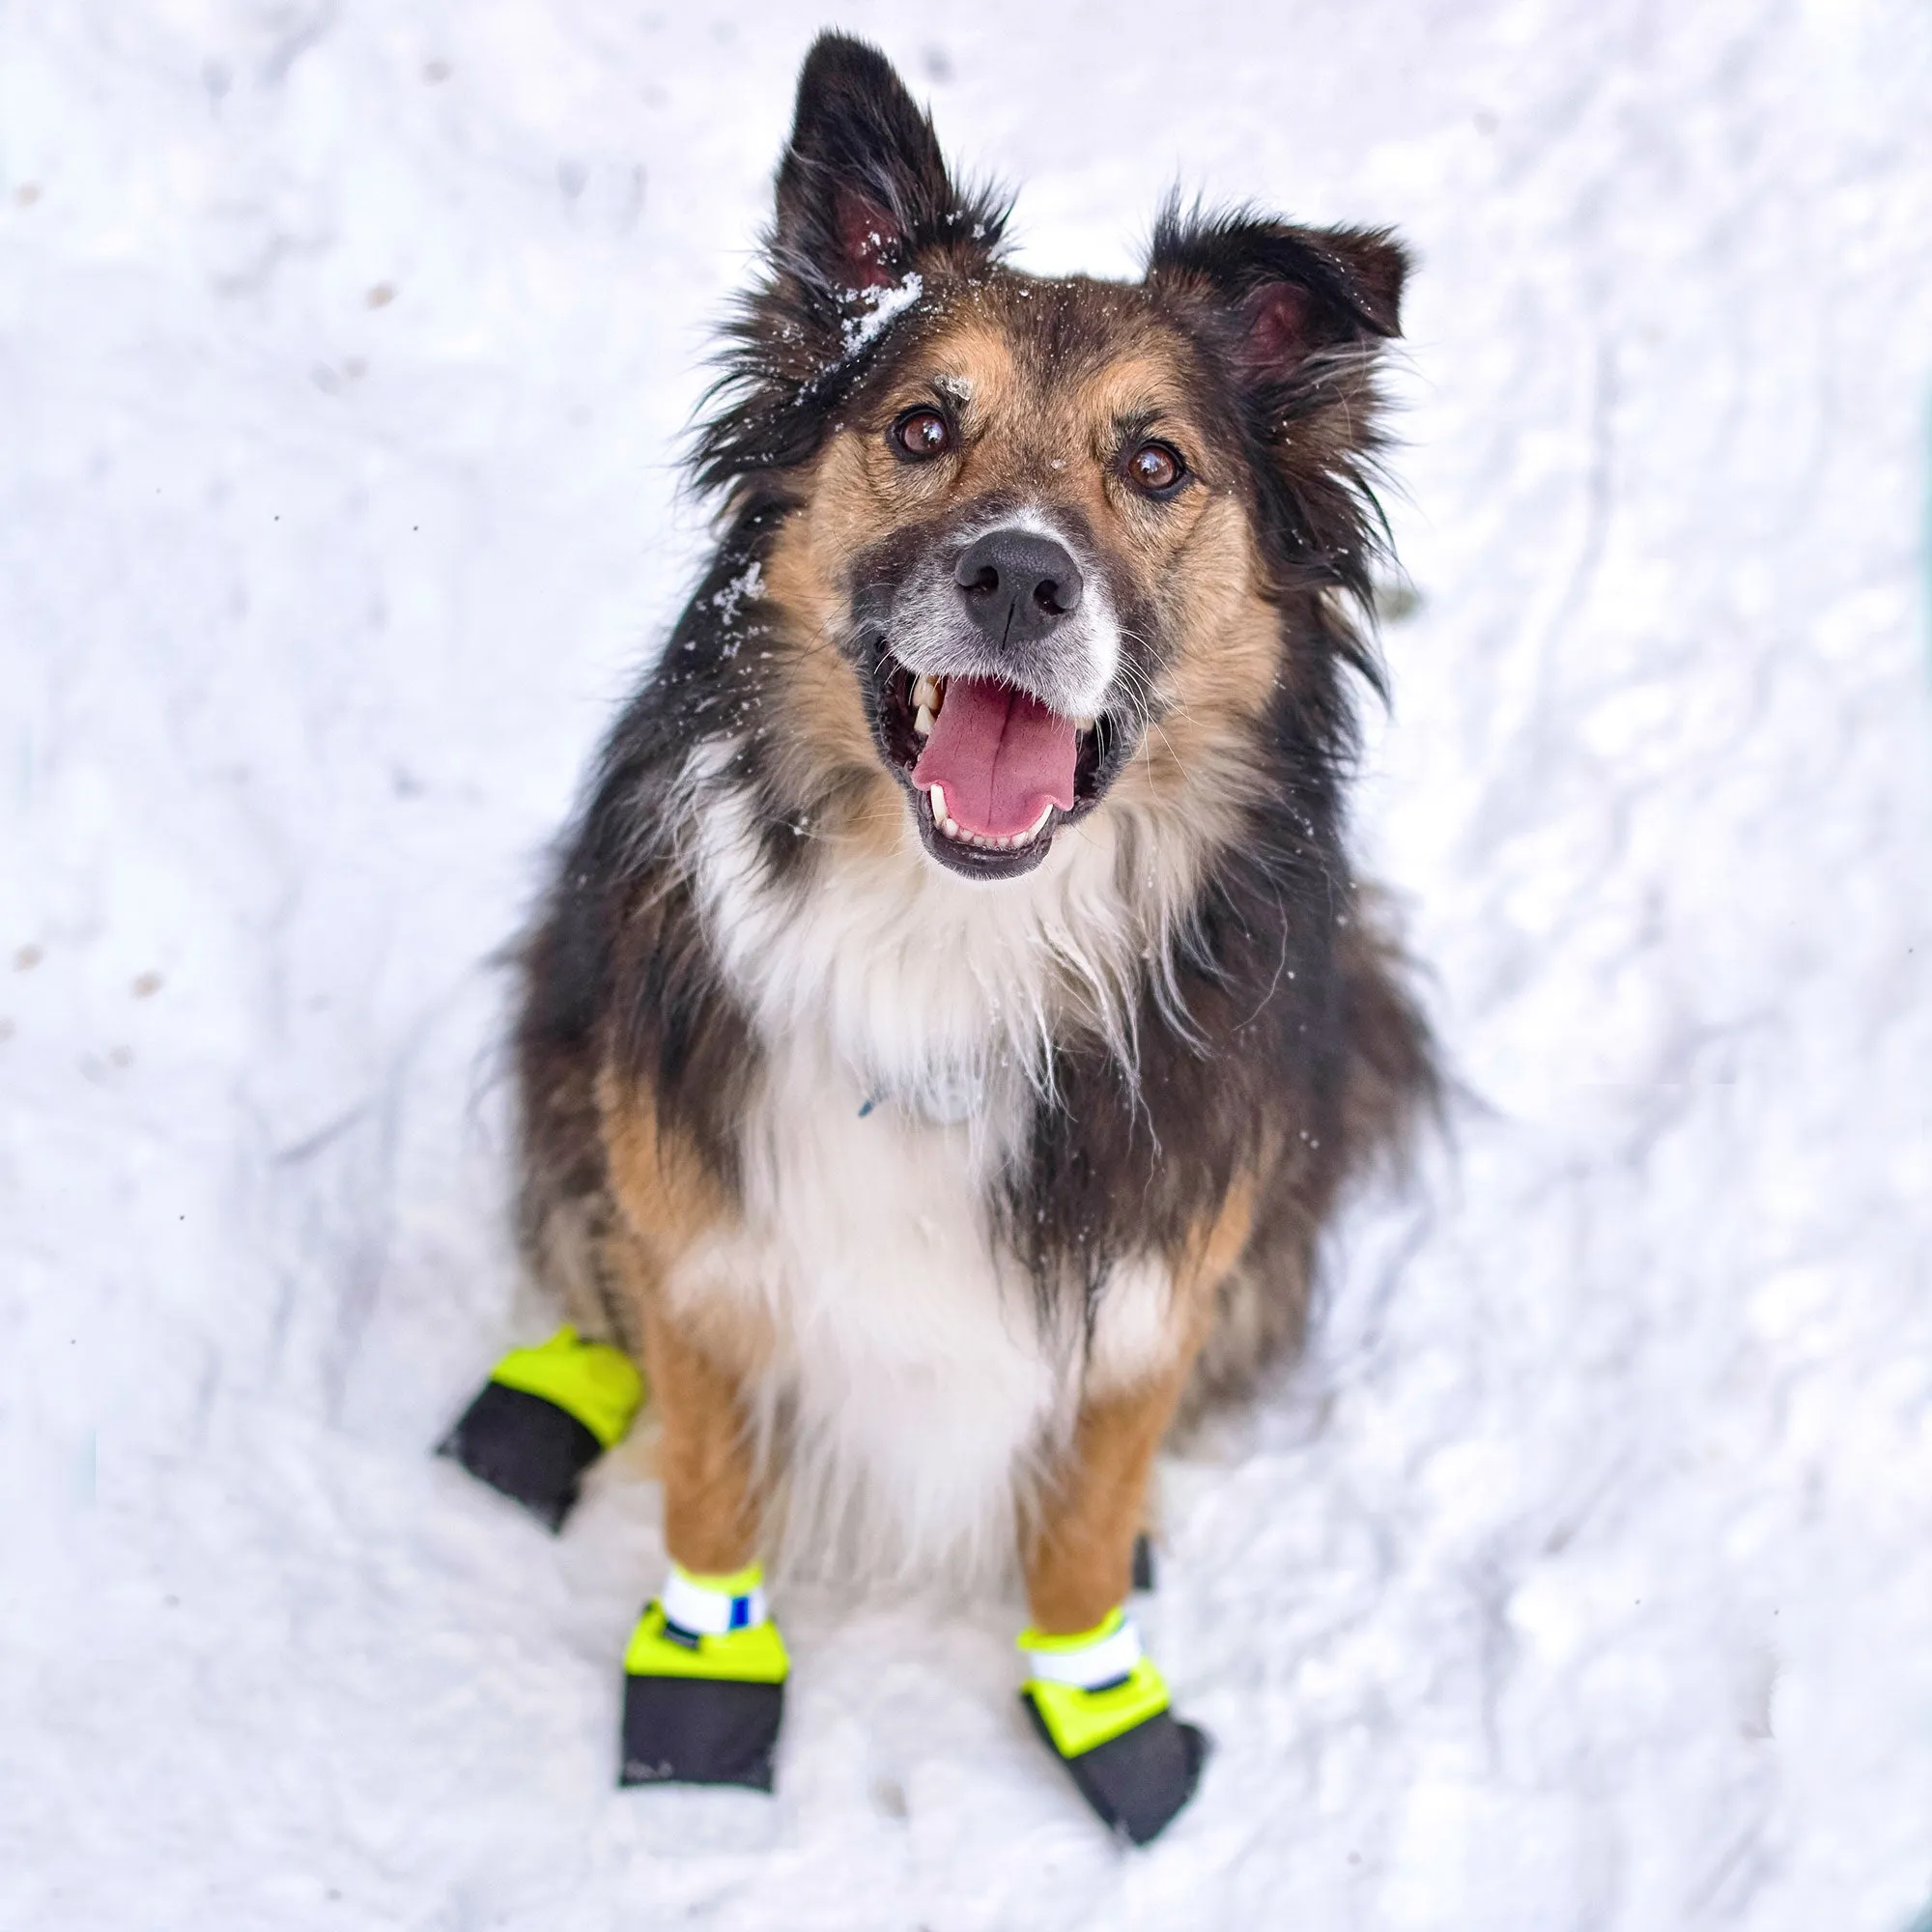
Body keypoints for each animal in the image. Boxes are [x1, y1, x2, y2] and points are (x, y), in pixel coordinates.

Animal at [498, 26, 1437, 1839]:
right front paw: (703, 1703)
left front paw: (1104, 1713)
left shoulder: (1149, 1285)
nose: (1017, 577)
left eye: (1156, 466)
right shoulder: (712, 1243)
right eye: (924, 425)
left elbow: (1077, 1533)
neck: (956, 938)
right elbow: (712, 1497)